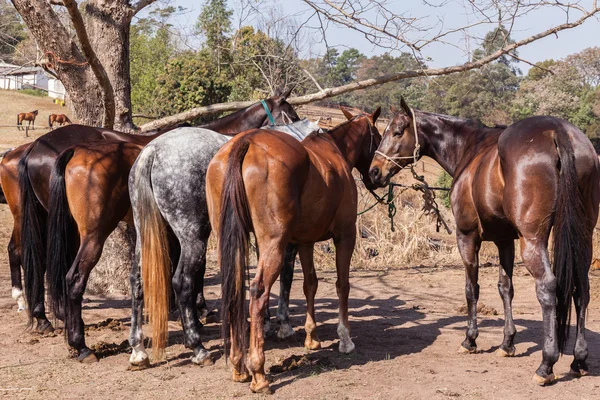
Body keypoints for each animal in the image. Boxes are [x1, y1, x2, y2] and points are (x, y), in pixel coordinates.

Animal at [200, 108, 380, 392]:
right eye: (379, 137)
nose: (376, 175)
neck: (335, 153)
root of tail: (245, 142)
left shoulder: (304, 242)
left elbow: (310, 284)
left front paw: (312, 336)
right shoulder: (345, 236)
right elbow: (342, 285)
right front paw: (345, 339)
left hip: (228, 243)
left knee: (236, 288)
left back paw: (239, 365)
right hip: (273, 244)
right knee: (258, 292)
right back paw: (258, 372)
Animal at [370, 97, 600, 384]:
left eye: (397, 132)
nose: (374, 171)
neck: (470, 149)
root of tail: (557, 131)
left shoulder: (467, 237)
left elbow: (472, 289)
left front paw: (470, 340)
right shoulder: (505, 240)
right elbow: (506, 288)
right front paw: (507, 343)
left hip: (533, 240)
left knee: (547, 288)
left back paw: (546, 364)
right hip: (582, 237)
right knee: (582, 289)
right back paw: (579, 359)